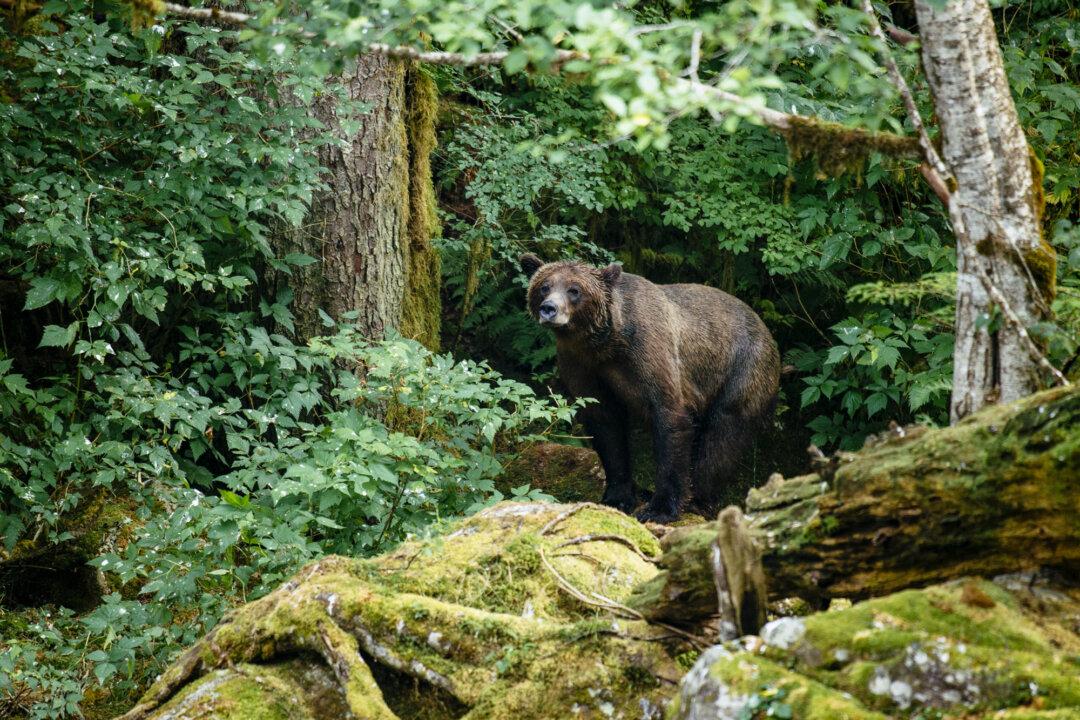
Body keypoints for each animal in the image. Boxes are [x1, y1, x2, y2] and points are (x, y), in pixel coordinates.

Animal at [520, 253, 780, 523]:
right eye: (544, 286)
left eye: (574, 290)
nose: (549, 308)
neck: (606, 345)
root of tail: (767, 332)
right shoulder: (582, 365)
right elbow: (606, 427)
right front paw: (618, 496)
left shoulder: (649, 353)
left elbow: (670, 419)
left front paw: (659, 508)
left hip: (742, 371)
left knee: (723, 436)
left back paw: (699, 499)